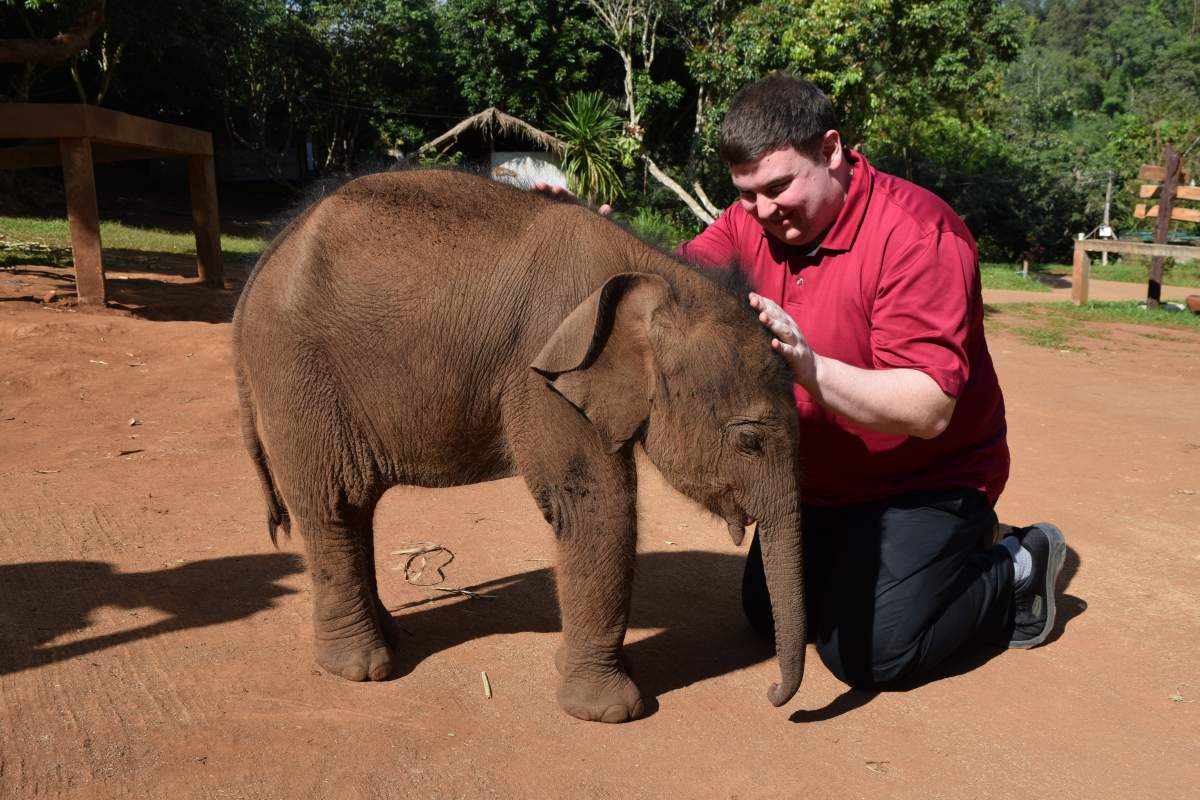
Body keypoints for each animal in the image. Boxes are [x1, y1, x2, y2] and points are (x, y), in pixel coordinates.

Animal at [231, 169, 806, 723]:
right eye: (750, 441)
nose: (775, 697)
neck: (652, 271)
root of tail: (268, 256)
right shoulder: (542, 377)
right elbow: (597, 508)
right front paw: (611, 711)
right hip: (296, 373)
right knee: (334, 501)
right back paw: (362, 667)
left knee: (354, 508)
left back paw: (387, 636)